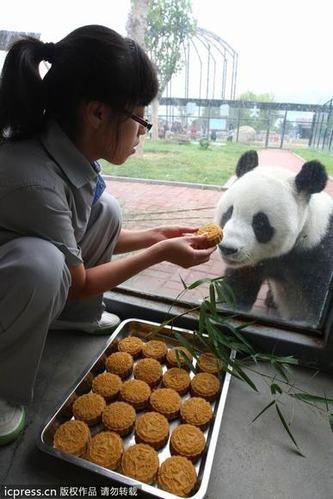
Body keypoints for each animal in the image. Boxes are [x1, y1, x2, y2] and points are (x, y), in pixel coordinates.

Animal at [215, 149, 332, 324]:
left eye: (260, 222)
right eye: (228, 213)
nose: (228, 248)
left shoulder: (319, 257)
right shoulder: (254, 263)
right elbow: (238, 288)